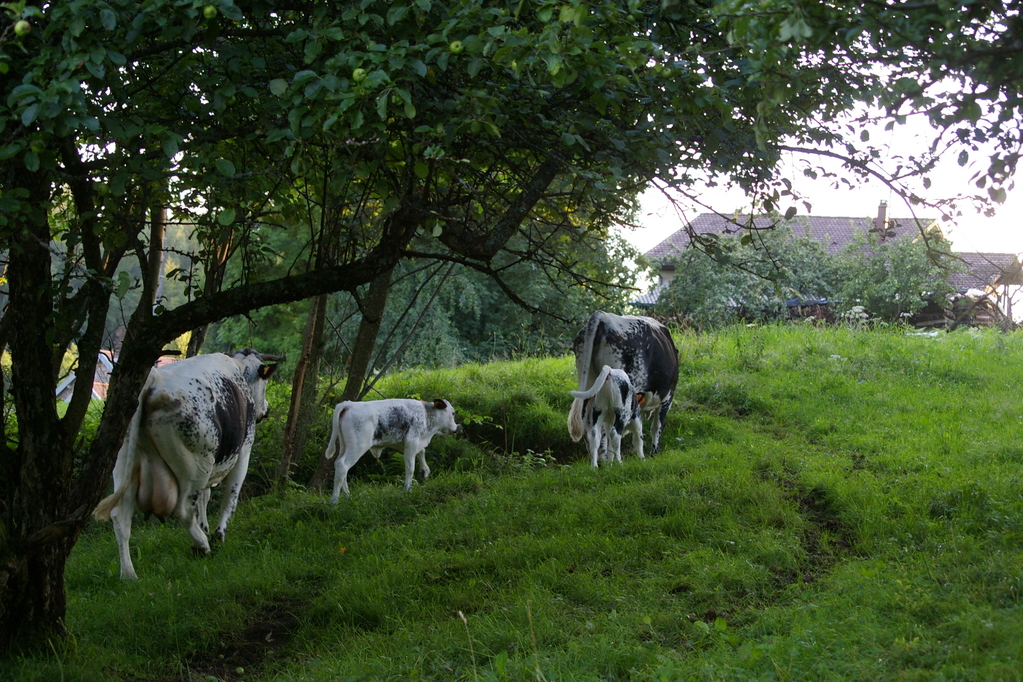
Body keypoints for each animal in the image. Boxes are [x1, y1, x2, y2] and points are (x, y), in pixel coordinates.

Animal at [93, 349, 280, 580]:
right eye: (265, 382)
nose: (267, 410)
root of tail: (154, 378)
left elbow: (204, 498)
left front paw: (205, 526)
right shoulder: (243, 451)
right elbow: (230, 497)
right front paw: (218, 535)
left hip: (124, 466)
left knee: (121, 517)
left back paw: (129, 574)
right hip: (196, 464)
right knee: (183, 510)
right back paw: (202, 545)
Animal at [568, 310, 679, 453]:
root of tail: (605, 317)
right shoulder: (667, 397)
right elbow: (656, 427)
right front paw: (653, 452)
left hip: (589, 384)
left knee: (589, 426)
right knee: (606, 430)